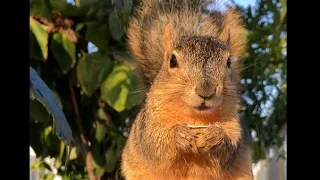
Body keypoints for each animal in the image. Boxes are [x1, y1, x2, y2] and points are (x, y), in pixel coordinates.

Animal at [120, 0, 252, 179]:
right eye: (172, 60)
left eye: (229, 62)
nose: (206, 91)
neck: (195, 116)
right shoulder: (148, 124)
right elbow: (155, 143)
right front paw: (179, 135)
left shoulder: (234, 125)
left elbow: (230, 149)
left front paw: (215, 137)